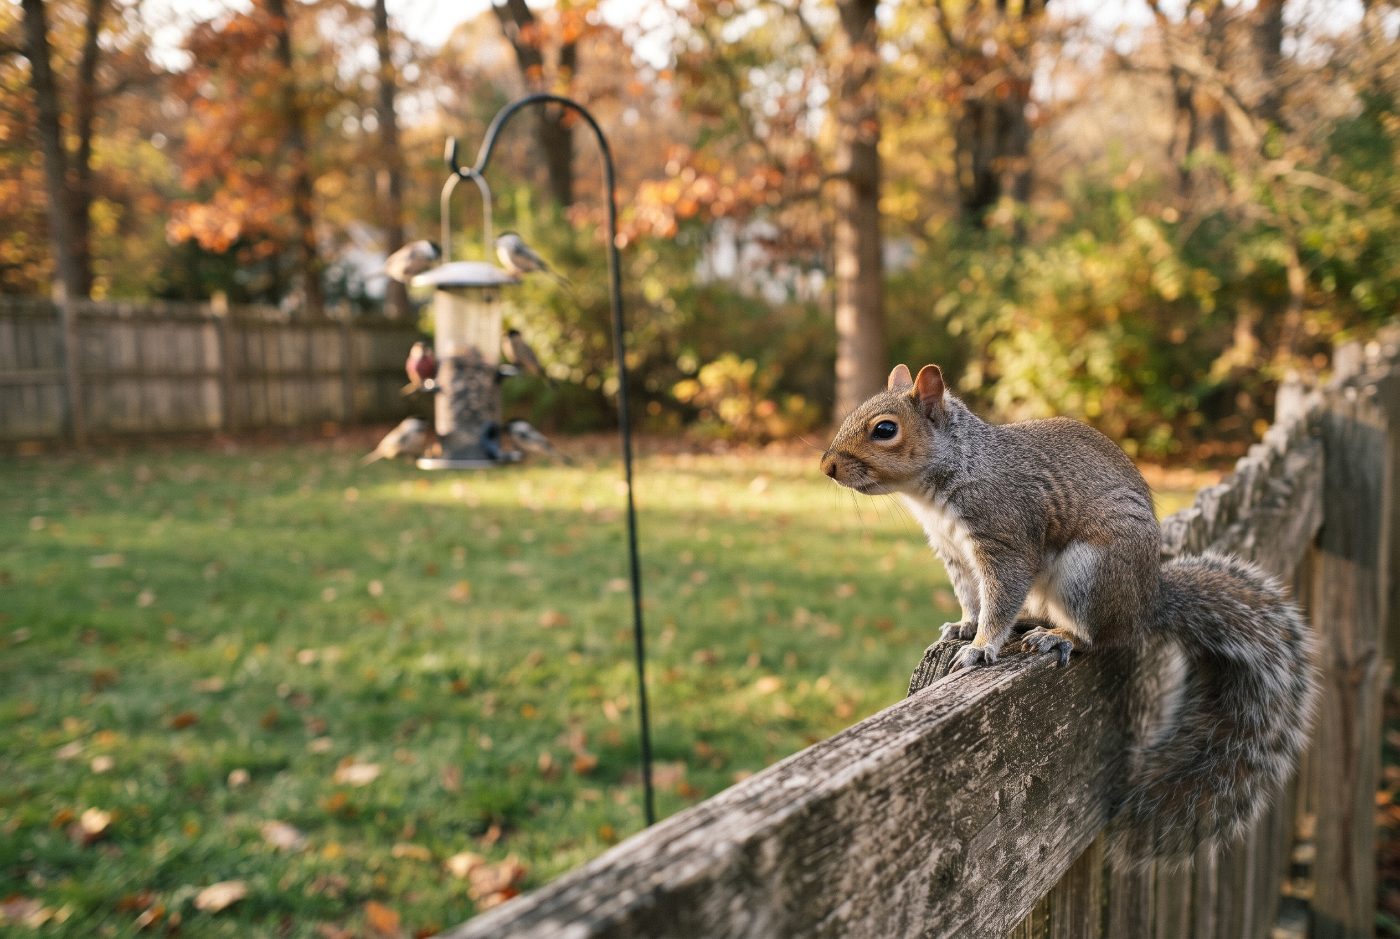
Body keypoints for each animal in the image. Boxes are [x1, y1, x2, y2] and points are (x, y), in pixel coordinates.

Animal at [820, 363, 1318, 866]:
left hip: (1089, 576)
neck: (950, 473)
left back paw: (1061, 637)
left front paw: (981, 647)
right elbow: (972, 597)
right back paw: (1033, 625)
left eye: (885, 429)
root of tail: (1146, 604)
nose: (827, 467)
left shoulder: (1005, 538)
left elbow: (999, 597)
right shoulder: (953, 553)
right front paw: (964, 626)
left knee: (1101, 637)